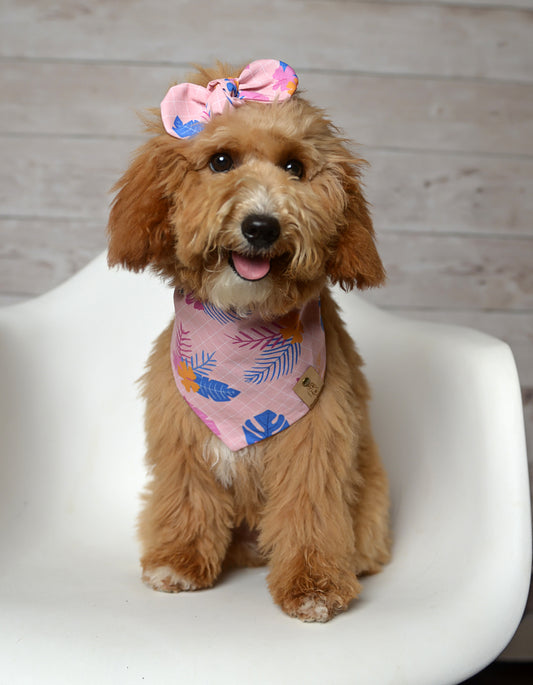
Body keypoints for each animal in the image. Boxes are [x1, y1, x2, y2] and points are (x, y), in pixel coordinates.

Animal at [107, 61, 390, 624]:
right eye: (221, 160)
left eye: (294, 168)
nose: (262, 226)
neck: (244, 332)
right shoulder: (182, 436)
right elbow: (188, 498)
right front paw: (178, 561)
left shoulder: (316, 444)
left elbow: (309, 512)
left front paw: (313, 586)